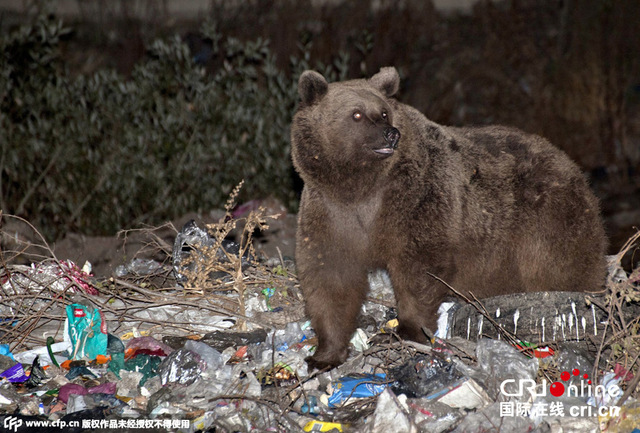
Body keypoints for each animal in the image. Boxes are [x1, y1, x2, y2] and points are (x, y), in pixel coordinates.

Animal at [290, 66, 604, 370]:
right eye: (356, 114)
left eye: (383, 112)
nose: (390, 133)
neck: (360, 187)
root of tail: (571, 165)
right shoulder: (331, 214)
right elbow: (331, 279)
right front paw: (324, 354)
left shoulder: (416, 198)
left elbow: (420, 267)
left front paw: (405, 330)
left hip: (548, 221)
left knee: (561, 267)